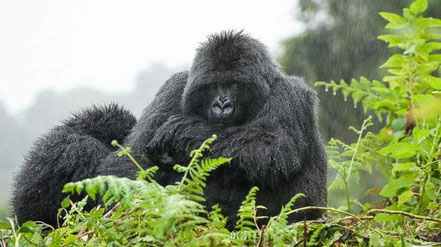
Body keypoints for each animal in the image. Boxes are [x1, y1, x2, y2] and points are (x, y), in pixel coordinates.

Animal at [12, 30, 326, 228]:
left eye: (235, 85)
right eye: (213, 86)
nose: (222, 104)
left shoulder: (292, 95)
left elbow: (269, 149)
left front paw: (186, 132)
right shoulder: (174, 87)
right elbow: (131, 160)